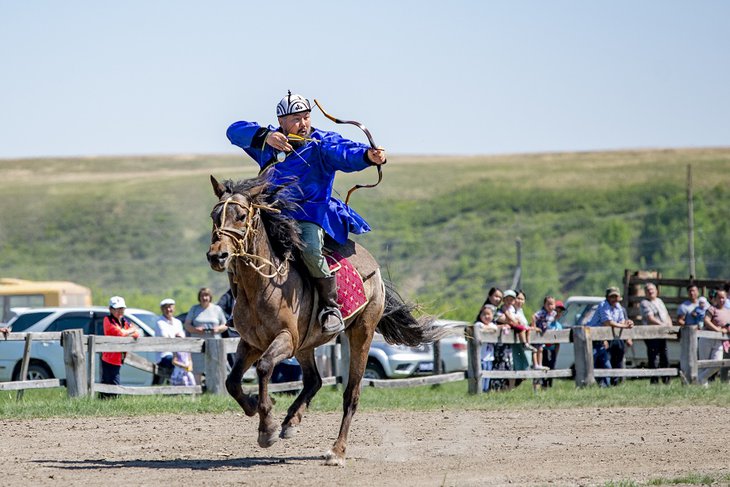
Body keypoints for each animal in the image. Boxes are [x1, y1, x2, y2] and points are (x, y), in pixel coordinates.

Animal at [205, 174, 444, 466]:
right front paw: (254, 408)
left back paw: (336, 451)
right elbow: (232, 382)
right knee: (314, 380)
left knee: (351, 394)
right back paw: (291, 421)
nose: (217, 256)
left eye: (240, 216)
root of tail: (374, 269)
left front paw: (266, 427)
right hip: (306, 345)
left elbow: (263, 368)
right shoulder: (250, 343)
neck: (263, 285)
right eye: (214, 215)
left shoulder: (284, 340)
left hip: (361, 333)